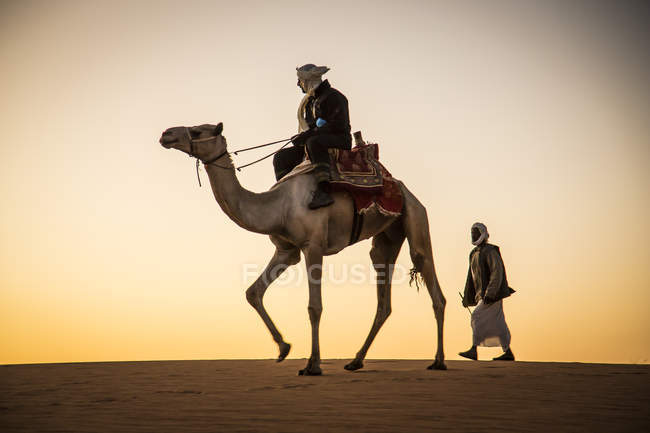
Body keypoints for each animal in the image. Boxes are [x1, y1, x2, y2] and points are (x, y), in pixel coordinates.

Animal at [157, 122, 446, 374]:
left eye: (197, 130)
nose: (166, 134)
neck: (278, 206)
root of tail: (400, 186)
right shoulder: (287, 251)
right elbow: (253, 292)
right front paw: (283, 348)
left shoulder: (313, 246)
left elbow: (314, 307)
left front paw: (312, 365)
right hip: (386, 236)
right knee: (383, 296)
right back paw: (356, 361)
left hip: (415, 214)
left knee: (428, 274)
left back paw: (438, 361)